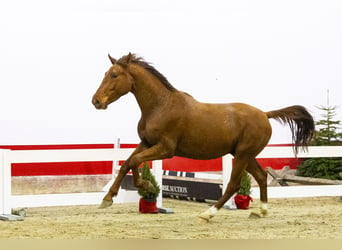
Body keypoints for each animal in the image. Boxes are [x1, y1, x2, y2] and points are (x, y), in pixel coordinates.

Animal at [91, 53, 316, 221]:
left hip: (242, 155)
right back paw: (260, 211)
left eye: (114, 75)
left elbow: (134, 161)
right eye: (106, 73)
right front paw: (107, 199)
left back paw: (208, 213)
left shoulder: (165, 148)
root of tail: (265, 114)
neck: (160, 106)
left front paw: (145, 186)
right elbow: (127, 163)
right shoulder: (147, 143)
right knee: (261, 176)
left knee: (233, 185)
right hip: (246, 155)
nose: (96, 101)